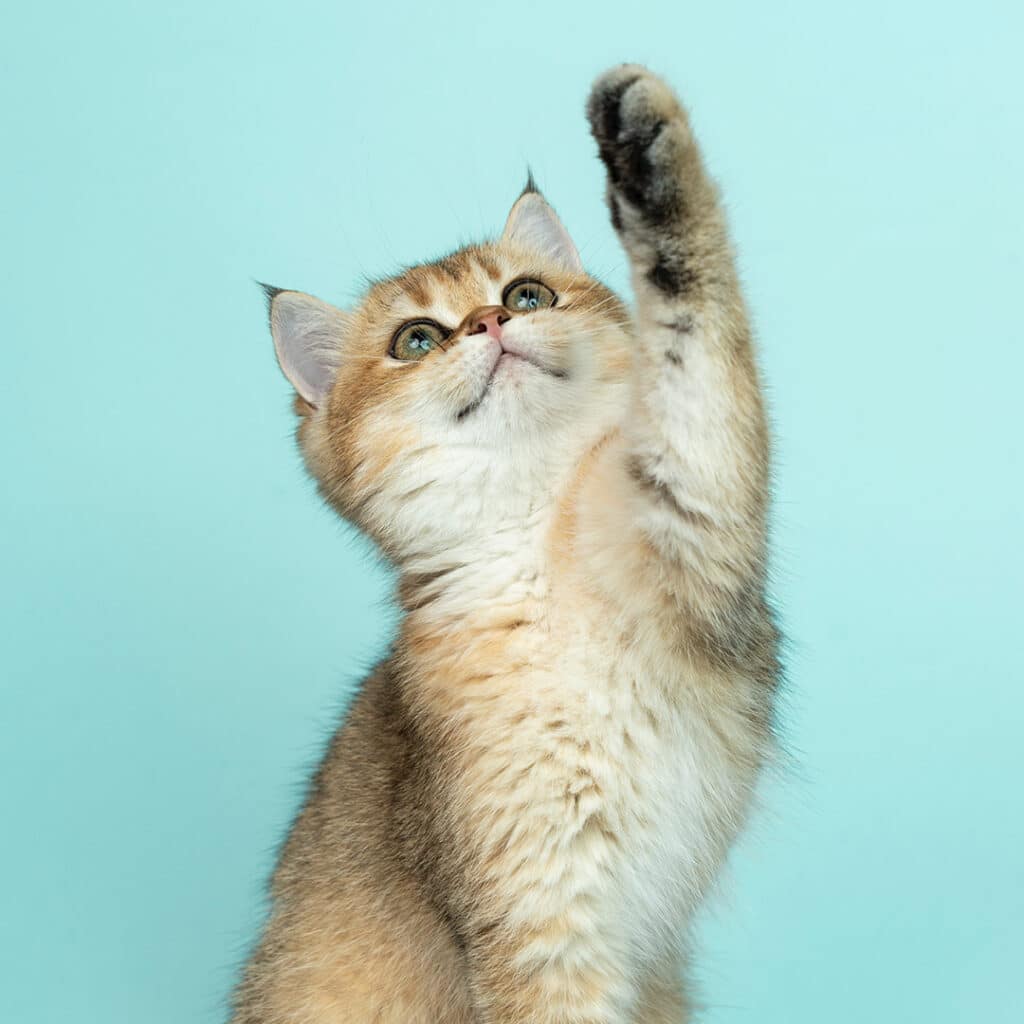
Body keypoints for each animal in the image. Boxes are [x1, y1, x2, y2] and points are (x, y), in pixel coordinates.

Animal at [230, 66, 774, 1024]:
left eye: (527, 295)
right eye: (415, 340)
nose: (488, 321)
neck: (539, 546)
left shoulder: (696, 516)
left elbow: (696, 332)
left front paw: (646, 143)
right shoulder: (540, 920)